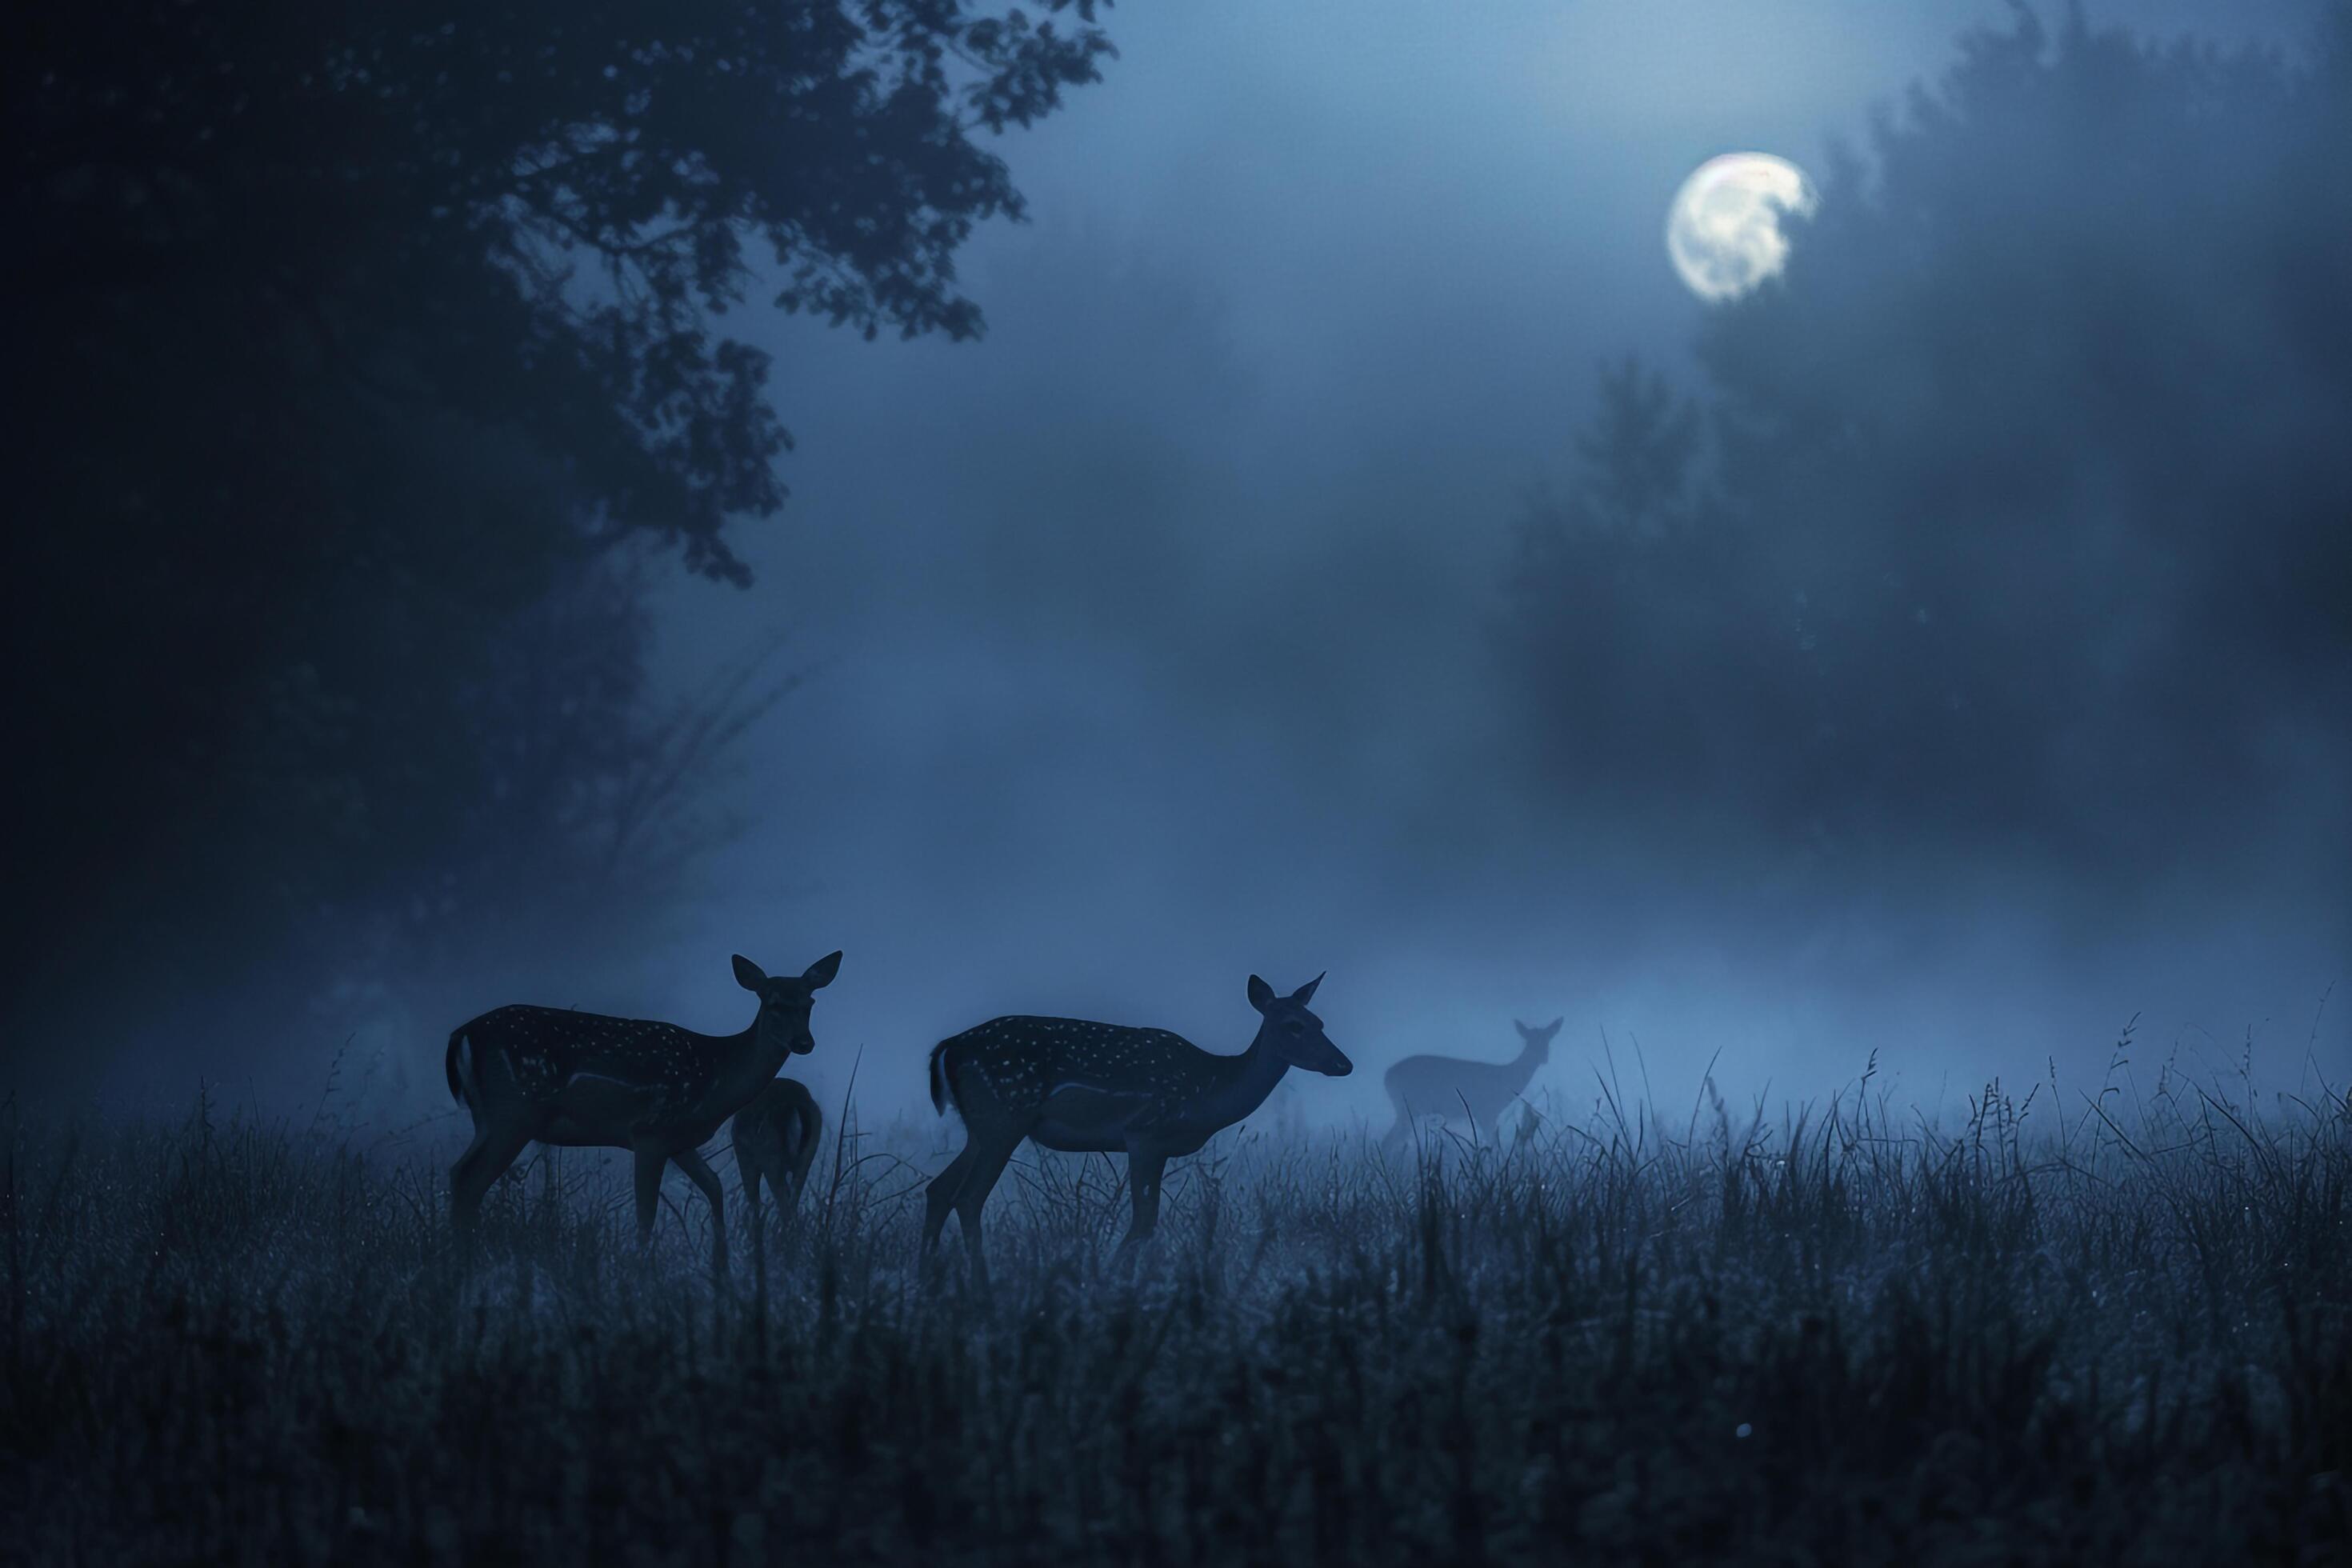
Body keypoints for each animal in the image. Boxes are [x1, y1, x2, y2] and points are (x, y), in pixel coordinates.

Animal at [734, 1081, 827, 1241]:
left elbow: (755, 1202)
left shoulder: (745, 1160)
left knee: (780, 1203)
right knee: (793, 1199)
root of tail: (792, 1106)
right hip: (807, 1155)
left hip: (770, 1160)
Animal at [922, 968, 1364, 1288]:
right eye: (1293, 1025)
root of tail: (950, 1046)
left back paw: (928, 1277)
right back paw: (981, 1286)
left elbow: (1148, 1223)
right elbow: (1143, 1223)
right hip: (1005, 1115)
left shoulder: (1160, 1147)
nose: (1344, 1064)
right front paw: (1109, 1281)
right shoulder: (1144, 1132)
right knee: (968, 1198)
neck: (1209, 1090)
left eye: (1319, 1021)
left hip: (981, 1127)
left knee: (938, 1189)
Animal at [1373, 1020, 1562, 1151]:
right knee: (1389, 1141)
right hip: (1407, 1106)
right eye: (1529, 1041)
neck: (1507, 1079)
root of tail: (1387, 1076)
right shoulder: (1485, 1111)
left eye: (1548, 1040)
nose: (1544, 1057)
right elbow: (1493, 1145)